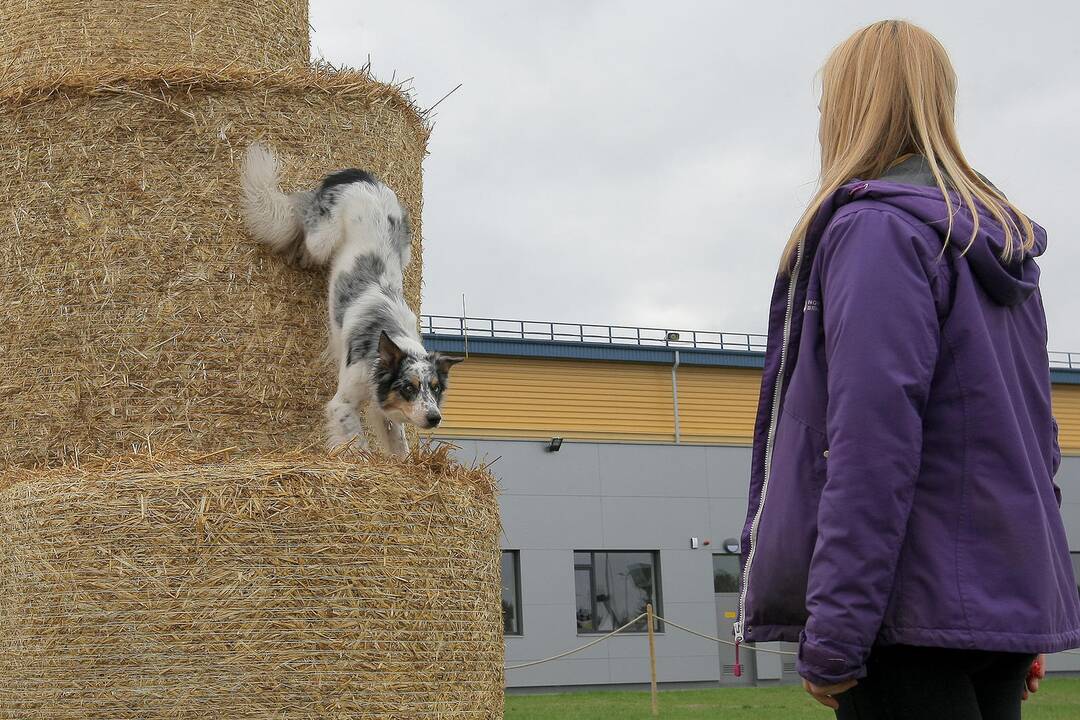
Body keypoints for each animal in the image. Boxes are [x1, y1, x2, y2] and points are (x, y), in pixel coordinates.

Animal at [240, 142, 460, 455]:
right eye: (409, 387)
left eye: (436, 387)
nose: (435, 418)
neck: (386, 342)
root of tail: (361, 176)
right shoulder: (342, 403)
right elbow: (356, 442)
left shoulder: (385, 408)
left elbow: (399, 446)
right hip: (323, 237)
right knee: (300, 215)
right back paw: (299, 249)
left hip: (405, 248)